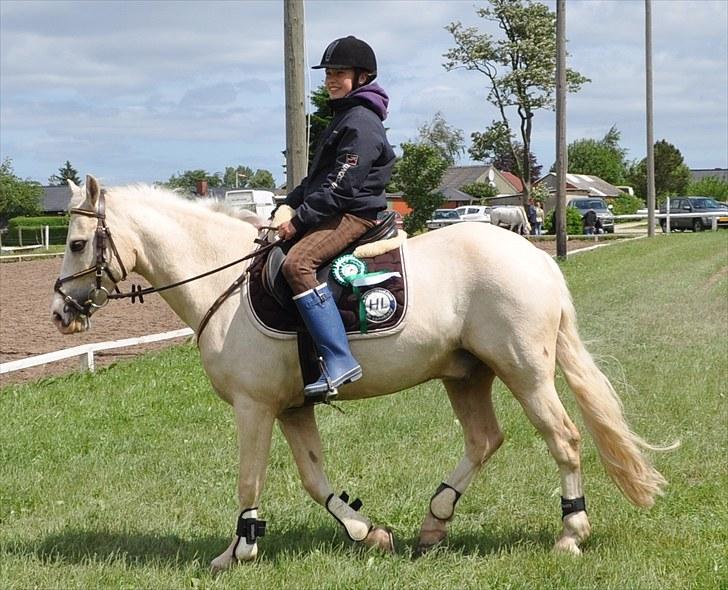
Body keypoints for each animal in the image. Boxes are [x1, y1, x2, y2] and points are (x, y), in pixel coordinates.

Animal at [51, 176, 670, 570]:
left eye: (78, 243)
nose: (59, 313)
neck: (225, 283)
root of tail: (537, 257)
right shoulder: (293, 407)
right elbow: (314, 478)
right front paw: (367, 533)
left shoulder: (255, 407)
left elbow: (249, 479)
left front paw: (238, 552)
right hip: (465, 375)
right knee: (484, 439)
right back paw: (434, 522)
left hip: (525, 373)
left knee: (563, 438)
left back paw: (570, 534)